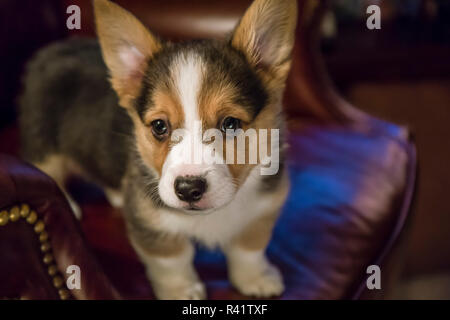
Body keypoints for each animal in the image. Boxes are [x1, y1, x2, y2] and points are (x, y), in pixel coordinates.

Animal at [19, 0, 298, 300]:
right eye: (159, 126)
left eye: (231, 123)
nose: (188, 189)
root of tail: (50, 50)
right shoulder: (153, 227)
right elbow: (172, 258)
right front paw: (182, 290)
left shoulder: (263, 209)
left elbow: (249, 248)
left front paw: (256, 278)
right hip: (43, 143)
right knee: (46, 168)